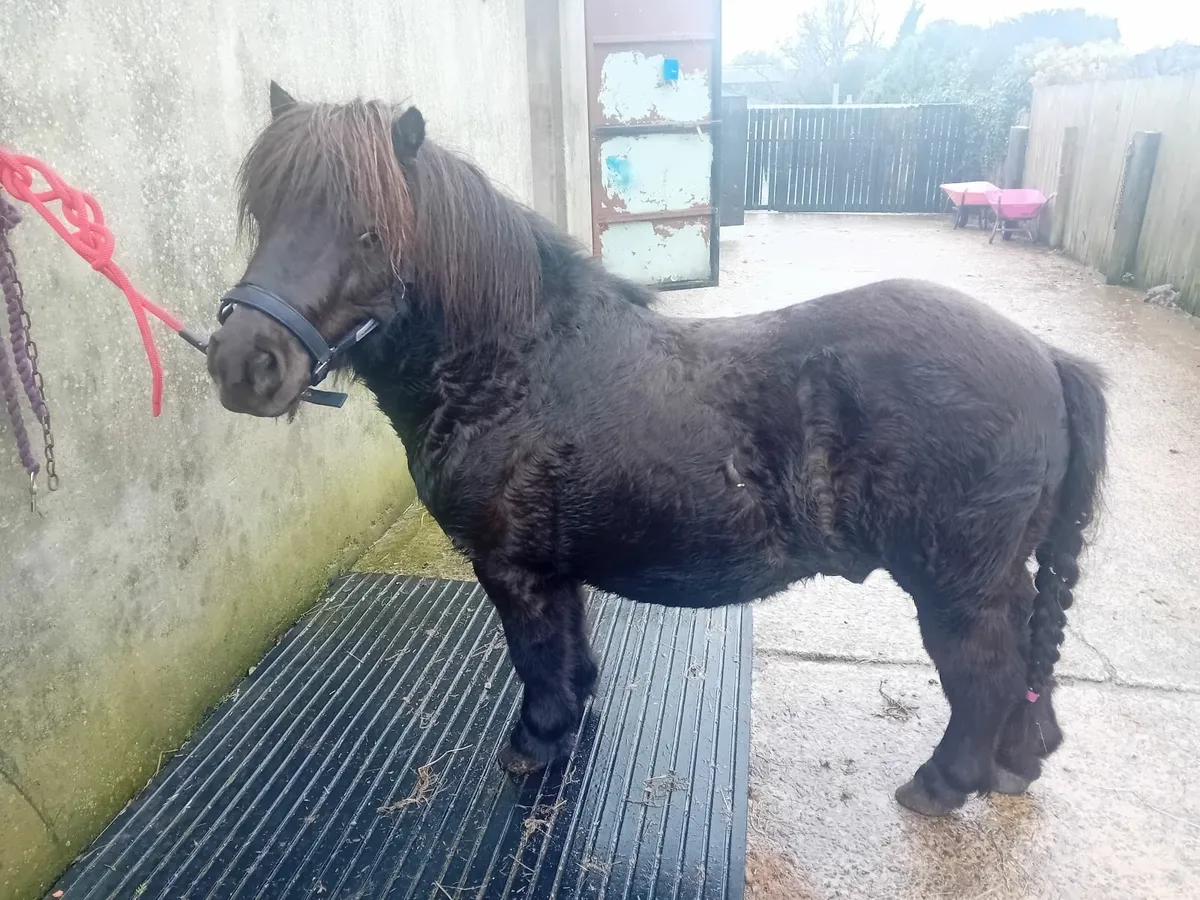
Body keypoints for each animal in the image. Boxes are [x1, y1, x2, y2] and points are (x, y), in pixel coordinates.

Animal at [206, 83, 1108, 817]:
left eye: (368, 231)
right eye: (264, 213)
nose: (244, 365)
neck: (516, 365)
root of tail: (1044, 356)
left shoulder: (514, 571)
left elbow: (536, 662)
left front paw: (535, 746)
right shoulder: (555, 572)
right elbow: (570, 654)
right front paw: (572, 723)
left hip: (957, 586)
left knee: (986, 674)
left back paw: (944, 783)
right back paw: (1017, 760)